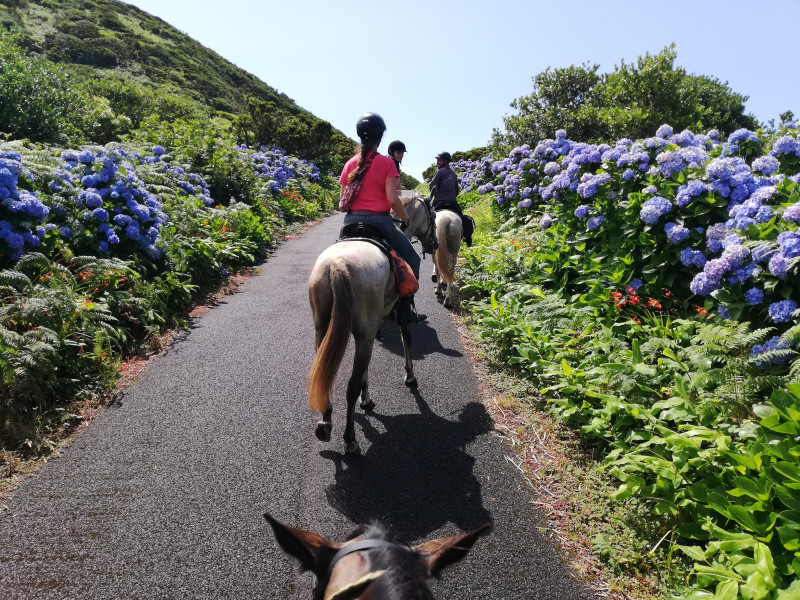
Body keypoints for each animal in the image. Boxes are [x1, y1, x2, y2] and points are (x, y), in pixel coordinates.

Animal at [308, 195, 438, 452]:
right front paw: (410, 378)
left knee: (325, 374)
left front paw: (366, 400)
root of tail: (337, 265)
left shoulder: (369, 330)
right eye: (432, 216)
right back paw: (350, 440)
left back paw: (326, 423)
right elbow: (406, 339)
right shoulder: (396, 316)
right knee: (351, 385)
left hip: (323, 328)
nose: (435, 245)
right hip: (361, 332)